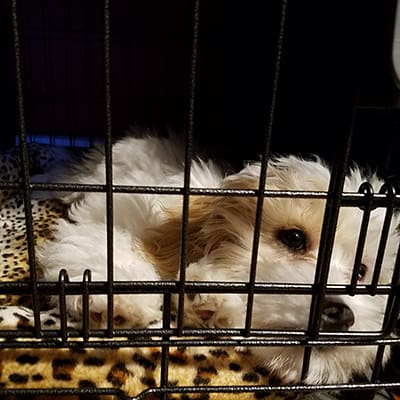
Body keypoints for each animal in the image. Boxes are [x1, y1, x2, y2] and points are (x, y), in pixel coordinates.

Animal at [36, 133, 398, 386]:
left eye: (362, 270)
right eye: (293, 238)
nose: (342, 314)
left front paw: (213, 301)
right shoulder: (117, 216)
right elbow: (112, 245)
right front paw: (121, 301)